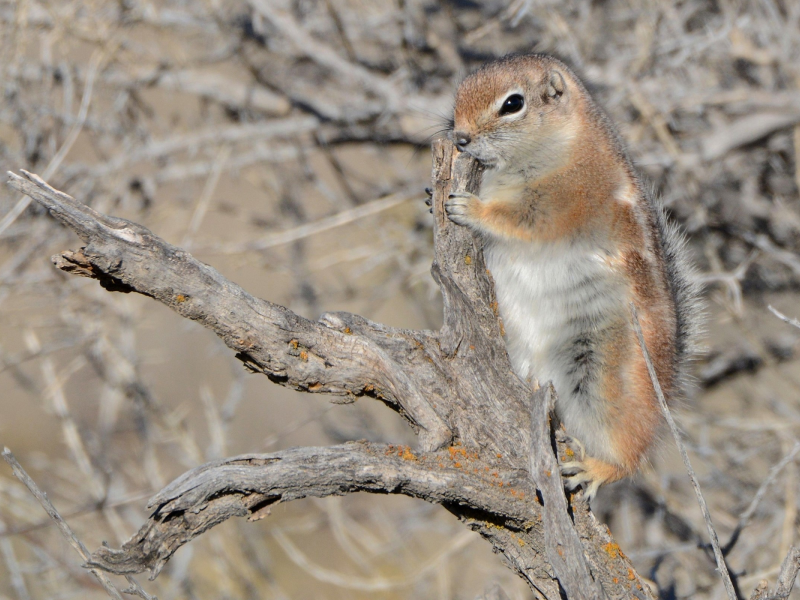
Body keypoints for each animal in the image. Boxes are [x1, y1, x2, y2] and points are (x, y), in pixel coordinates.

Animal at [438, 55, 700, 496]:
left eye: (512, 104)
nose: (460, 138)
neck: (566, 145)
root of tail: (667, 385)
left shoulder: (564, 202)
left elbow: (519, 221)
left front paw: (471, 208)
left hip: (604, 378)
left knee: (630, 451)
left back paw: (597, 468)